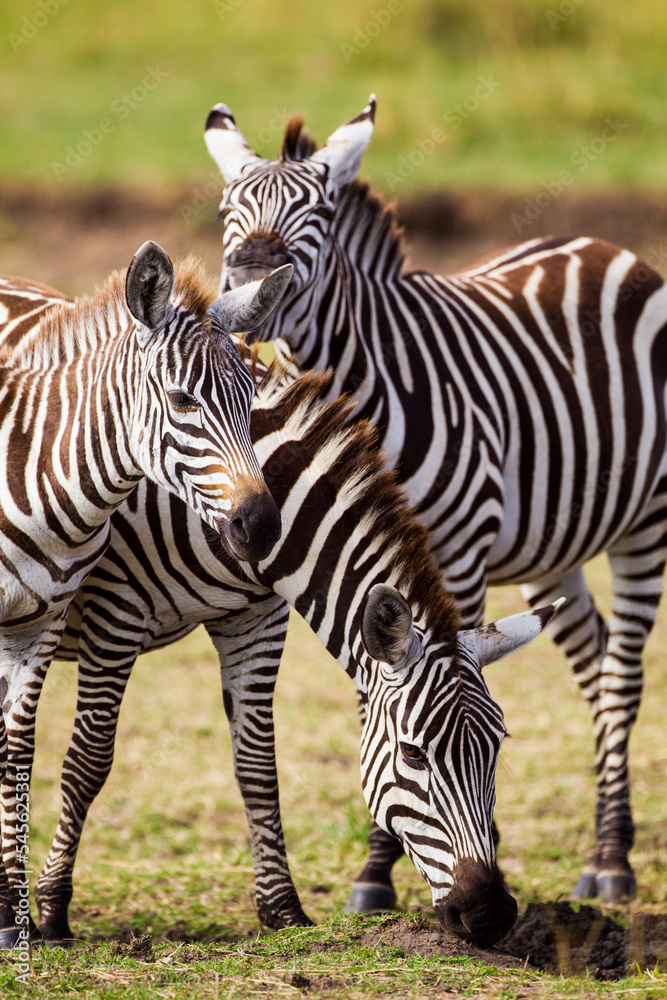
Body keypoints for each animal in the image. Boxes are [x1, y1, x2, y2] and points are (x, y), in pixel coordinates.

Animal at [0, 244, 290, 948]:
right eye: (182, 399)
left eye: (252, 403)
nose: (262, 527)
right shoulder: (110, 613)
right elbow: (76, 758)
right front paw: (37, 911)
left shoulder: (39, 625)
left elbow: (16, 752)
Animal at [0, 339, 561, 947]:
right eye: (413, 753)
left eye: (499, 744)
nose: (491, 913)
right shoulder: (115, 607)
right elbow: (88, 761)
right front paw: (52, 910)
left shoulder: (258, 618)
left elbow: (256, 764)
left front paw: (282, 911)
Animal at [204, 96, 667, 907]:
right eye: (229, 210)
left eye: (319, 212)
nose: (251, 282)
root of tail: (602, 245)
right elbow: (380, 695)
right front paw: (379, 868)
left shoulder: (456, 550)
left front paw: (395, 863)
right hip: (553, 541)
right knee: (591, 655)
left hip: (645, 521)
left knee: (620, 676)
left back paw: (611, 859)